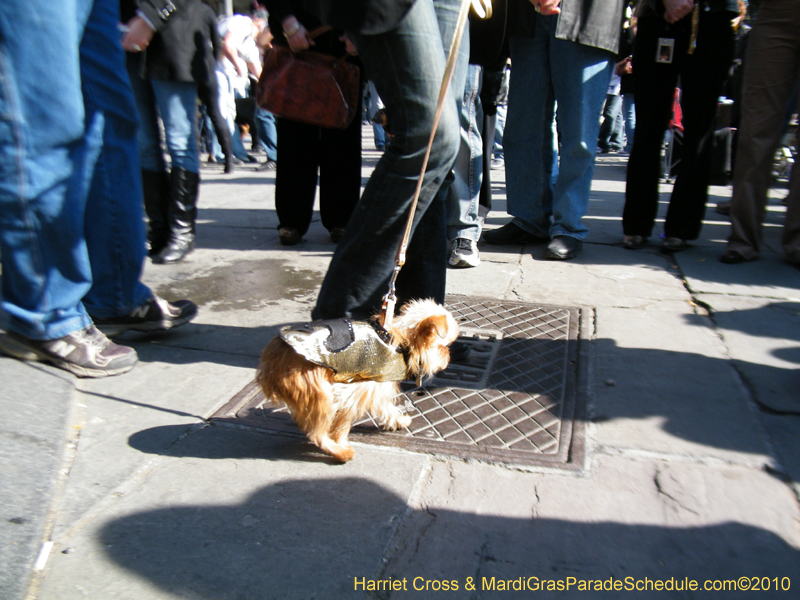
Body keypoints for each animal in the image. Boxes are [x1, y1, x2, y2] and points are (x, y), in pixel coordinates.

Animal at [256, 300, 456, 464]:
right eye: (444, 347)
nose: (449, 356)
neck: (400, 340)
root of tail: (274, 356)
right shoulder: (360, 387)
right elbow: (345, 421)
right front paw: (341, 439)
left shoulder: (375, 386)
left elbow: (386, 408)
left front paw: (397, 420)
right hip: (318, 391)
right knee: (317, 433)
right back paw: (340, 453)